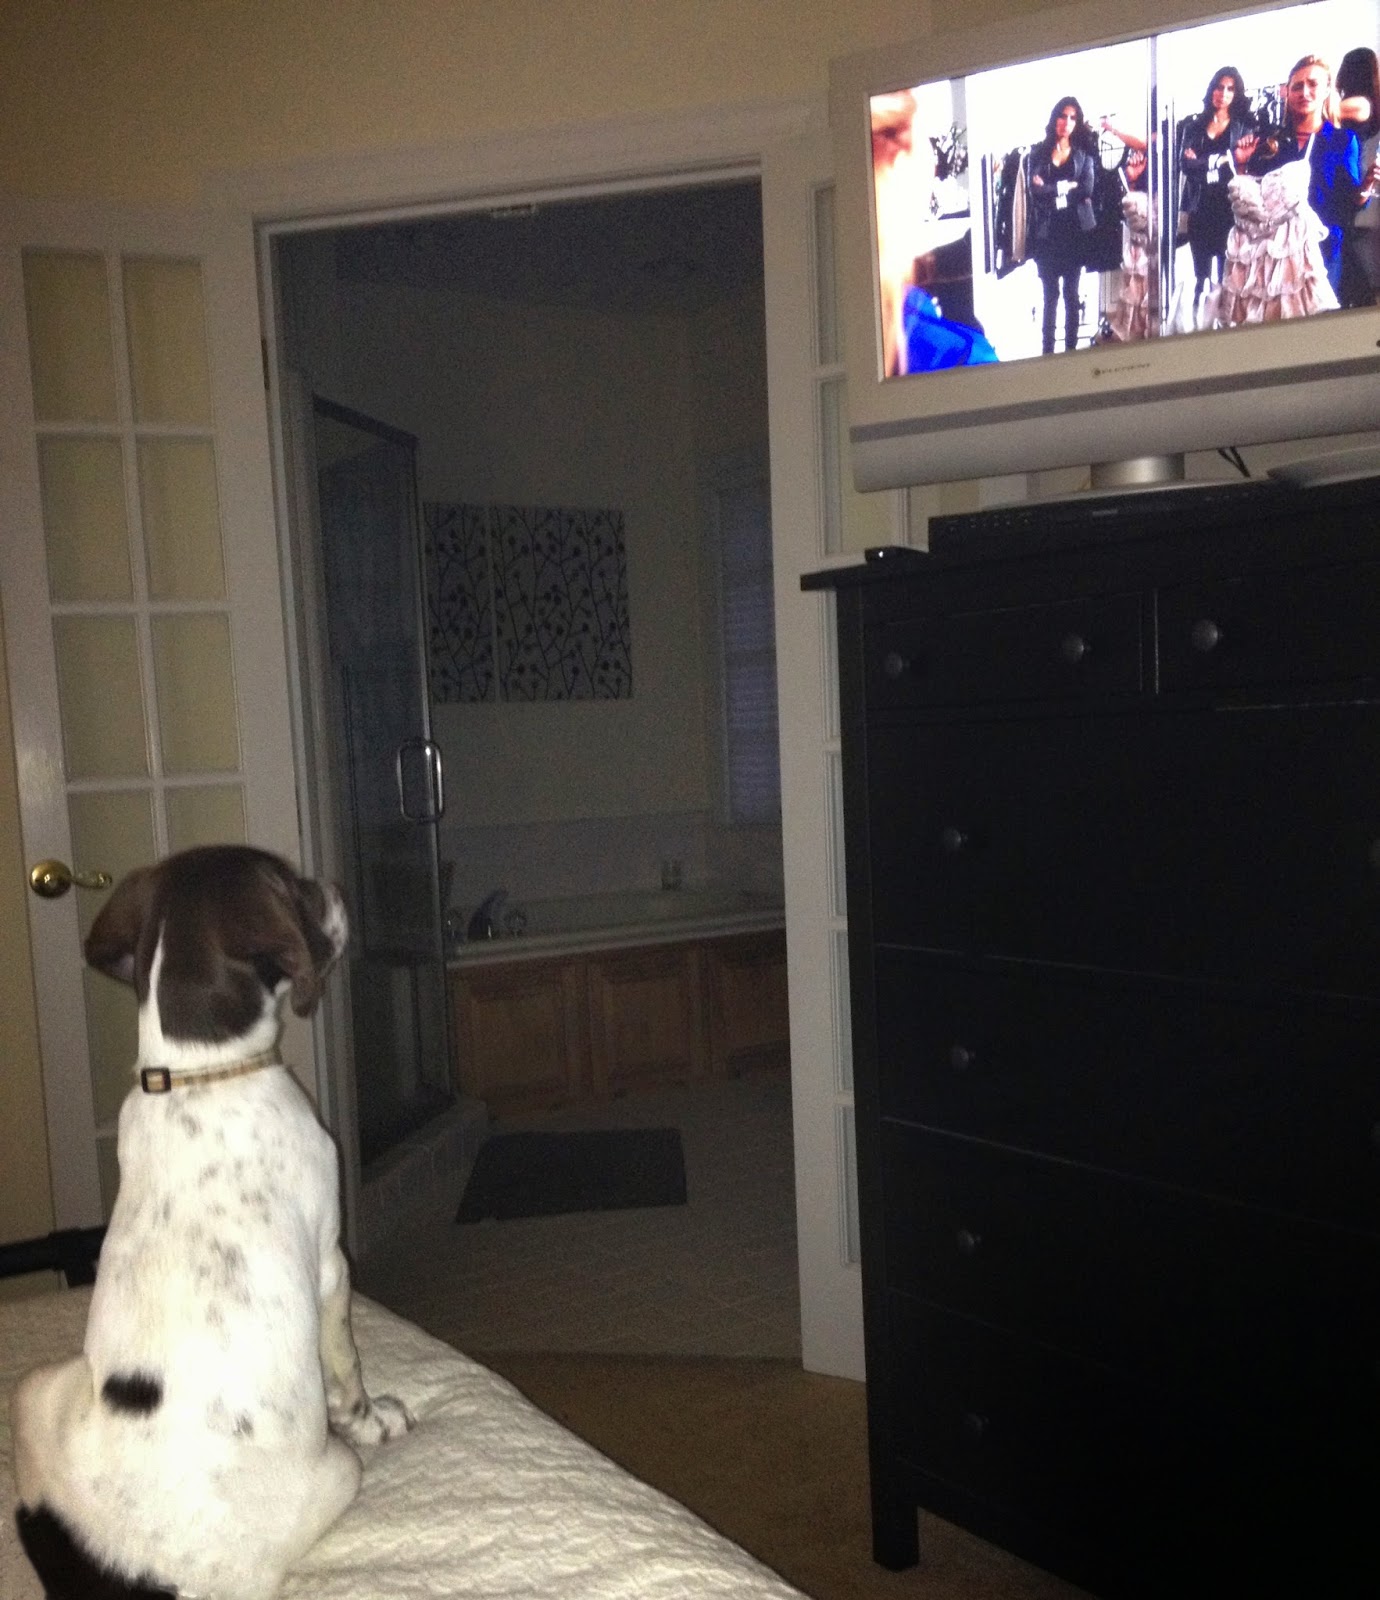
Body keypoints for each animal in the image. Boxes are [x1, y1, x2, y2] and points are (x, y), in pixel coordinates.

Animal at [11, 845, 413, 1599]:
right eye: (294, 887)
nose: (331, 883)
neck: (197, 1071)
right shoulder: (331, 1263)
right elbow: (346, 1363)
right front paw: (373, 1417)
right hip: (333, 1478)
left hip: (35, 1390)